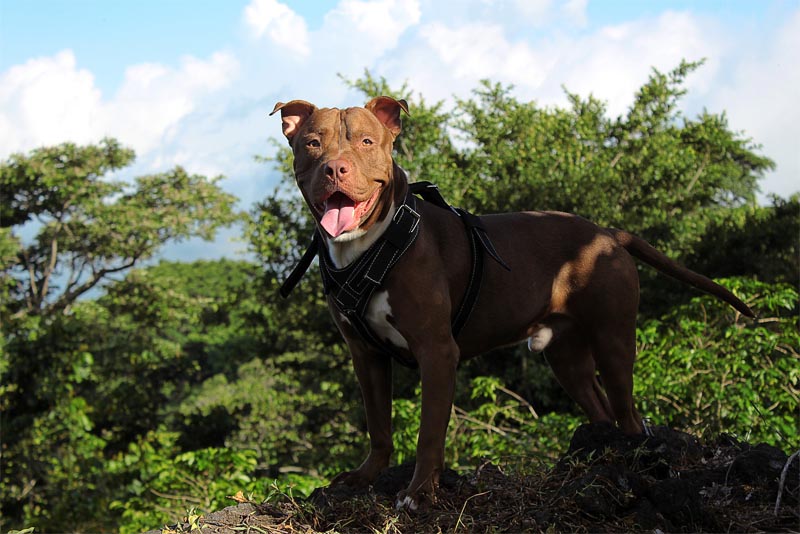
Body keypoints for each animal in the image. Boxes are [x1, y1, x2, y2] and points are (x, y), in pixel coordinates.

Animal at [272, 95, 752, 510]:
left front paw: (420, 493)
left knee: (629, 413)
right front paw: (365, 477)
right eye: (313, 143)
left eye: (366, 142)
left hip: (613, 340)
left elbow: (429, 433)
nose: (335, 168)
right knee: (599, 408)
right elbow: (378, 426)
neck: (373, 244)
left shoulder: (437, 352)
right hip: (566, 355)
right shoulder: (365, 354)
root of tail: (607, 233)